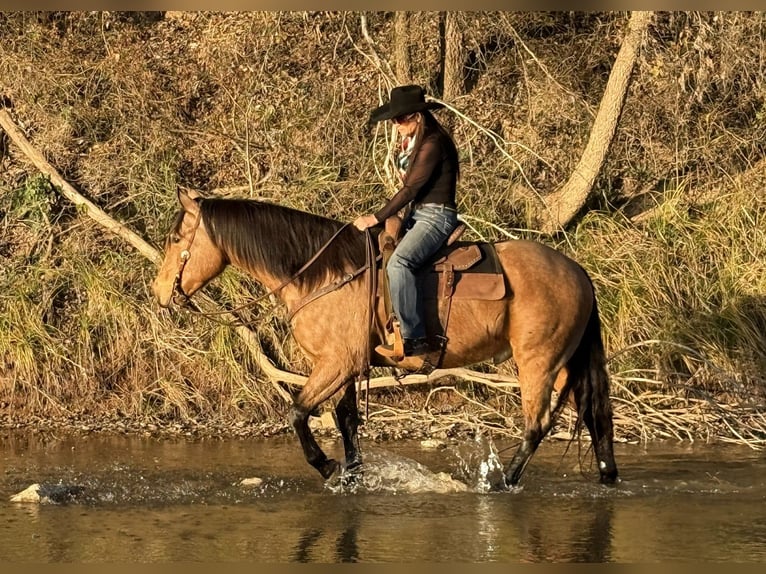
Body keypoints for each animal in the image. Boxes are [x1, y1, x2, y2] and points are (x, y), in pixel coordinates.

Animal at [151, 188, 619, 489]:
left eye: (176, 238)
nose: (158, 293)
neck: (324, 275)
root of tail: (578, 272)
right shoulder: (346, 367)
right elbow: (345, 421)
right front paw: (352, 475)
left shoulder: (335, 363)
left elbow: (298, 413)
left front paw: (328, 468)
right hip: (564, 365)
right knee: (597, 419)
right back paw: (607, 477)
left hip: (537, 364)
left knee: (536, 426)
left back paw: (502, 483)